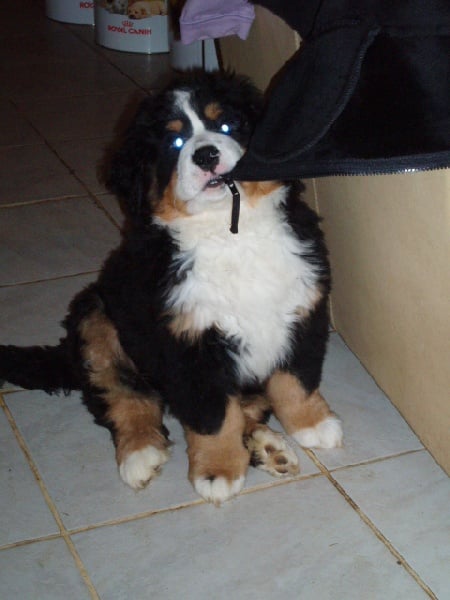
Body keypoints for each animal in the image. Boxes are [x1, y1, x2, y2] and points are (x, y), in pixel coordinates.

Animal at [0, 72, 342, 504]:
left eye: (227, 125)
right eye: (174, 142)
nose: (206, 155)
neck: (231, 234)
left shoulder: (302, 308)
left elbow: (295, 380)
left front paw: (312, 424)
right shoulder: (187, 345)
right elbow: (215, 417)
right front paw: (217, 471)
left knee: (248, 407)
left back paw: (270, 448)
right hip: (97, 318)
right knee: (123, 395)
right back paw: (140, 454)